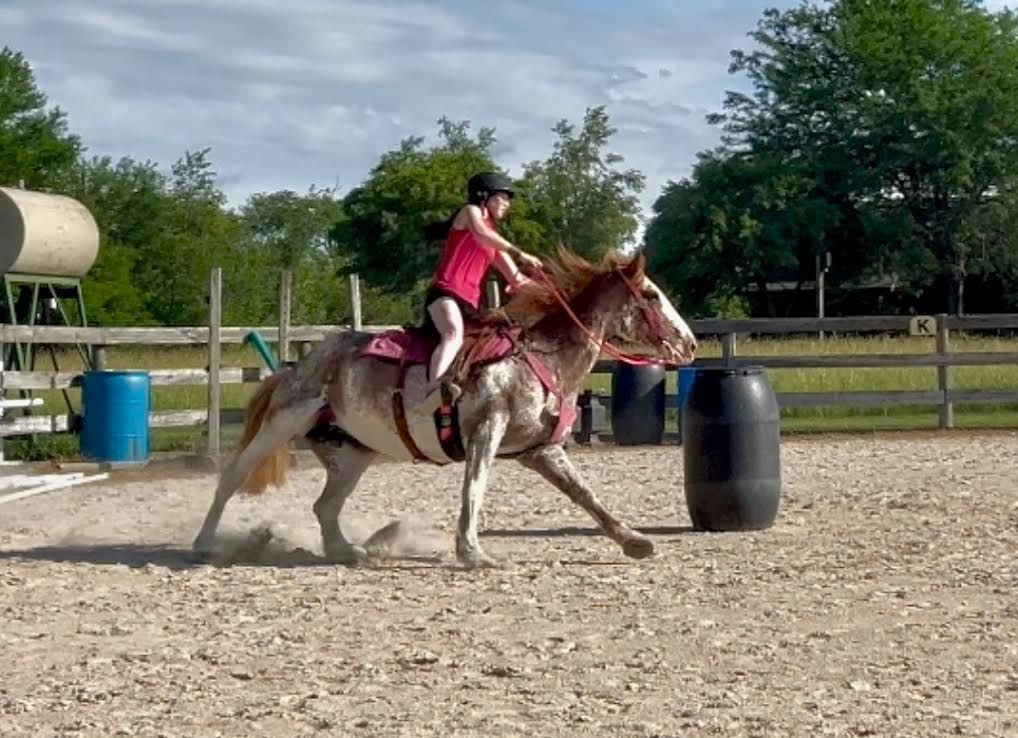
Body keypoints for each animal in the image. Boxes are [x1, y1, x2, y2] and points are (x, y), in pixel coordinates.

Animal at [192, 248, 697, 568]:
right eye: (651, 295)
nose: (690, 343)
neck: (539, 356)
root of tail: (300, 365)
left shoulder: (540, 450)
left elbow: (586, 495)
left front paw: (634, 541)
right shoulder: (486, 430)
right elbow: (474, 488)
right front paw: (472, 552)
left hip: (353, 452)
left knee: (325, 506)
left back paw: (346, 551)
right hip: (282, 423)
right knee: (232, 479)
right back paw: (202, 543)